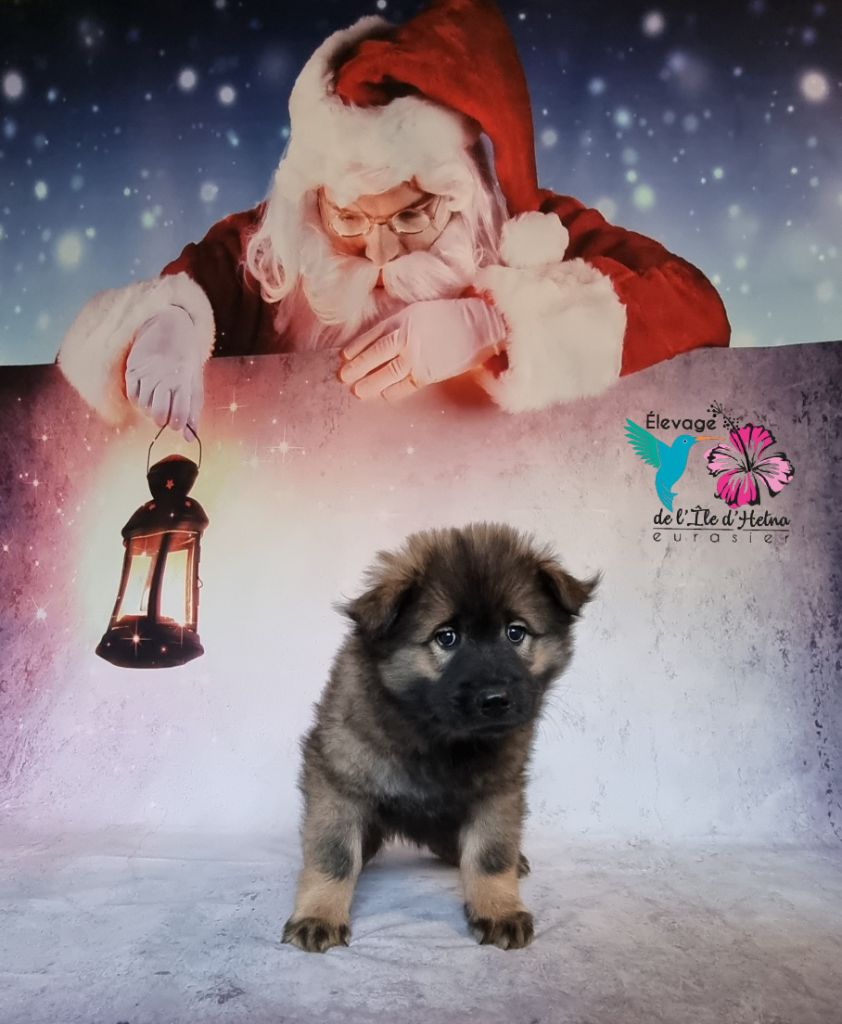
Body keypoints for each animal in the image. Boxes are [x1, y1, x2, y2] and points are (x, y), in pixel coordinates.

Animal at [282, 522, 595, 952]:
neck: (439, 735)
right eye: (446, 637)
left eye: (515, 633)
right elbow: (333, 854)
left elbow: (490, 854)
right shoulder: (338, 777)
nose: (495, 699)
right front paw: (319, 914)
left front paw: (498, 908)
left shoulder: (499, 790)